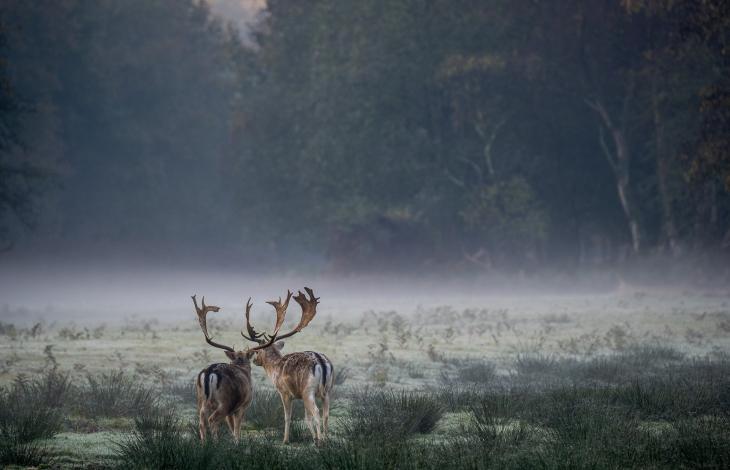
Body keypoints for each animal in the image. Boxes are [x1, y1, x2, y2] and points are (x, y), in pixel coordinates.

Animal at [191, 292, 282, 442]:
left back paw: (204, 444)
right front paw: (237, 443)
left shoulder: (232, 411)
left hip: (201, 401)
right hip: (225, 401)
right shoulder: (242, 406)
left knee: (201, 422)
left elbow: (232, 427)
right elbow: (237, 429)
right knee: (212, 420)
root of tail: (210, 372)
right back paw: (215, 443)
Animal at [242, 286, 332, 444]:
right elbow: (306, 418)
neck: (274, 369)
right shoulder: (300, 395)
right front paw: (313, 437)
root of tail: (321, 361)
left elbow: (288, 416)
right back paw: (325, 438)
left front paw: (286, 439)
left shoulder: (284, 392)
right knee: (326, 414)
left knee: (316, 412)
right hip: (326, 391)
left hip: (308, 390)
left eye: (257, 351)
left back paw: (321, 441)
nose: (255, 361)